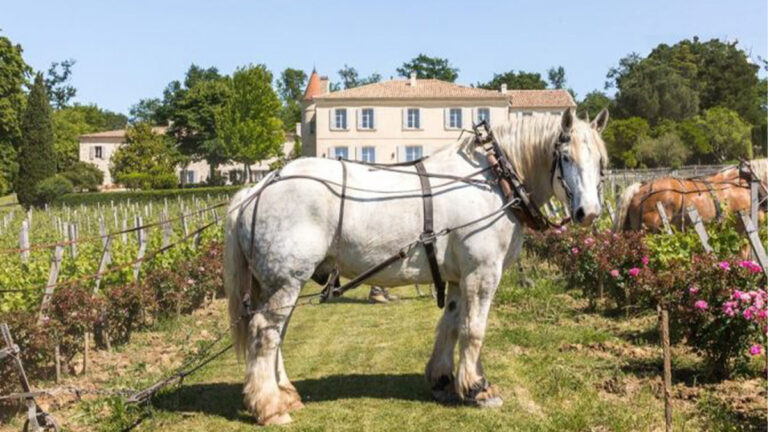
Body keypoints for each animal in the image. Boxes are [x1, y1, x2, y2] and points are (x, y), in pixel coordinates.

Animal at [225, 109, 608, 426]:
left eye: (601, 163)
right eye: (565, 157)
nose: (588, 213)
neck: (494, 181)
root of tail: (258, 187)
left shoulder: (459, 278)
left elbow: (450, 326)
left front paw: (443, 380)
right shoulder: (482, 273)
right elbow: (474, 330)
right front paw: (478, 387)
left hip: (278, 283)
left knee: (277, 334)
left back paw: (286, 395)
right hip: (285, 281)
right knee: (265, 333)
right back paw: (269, 407)